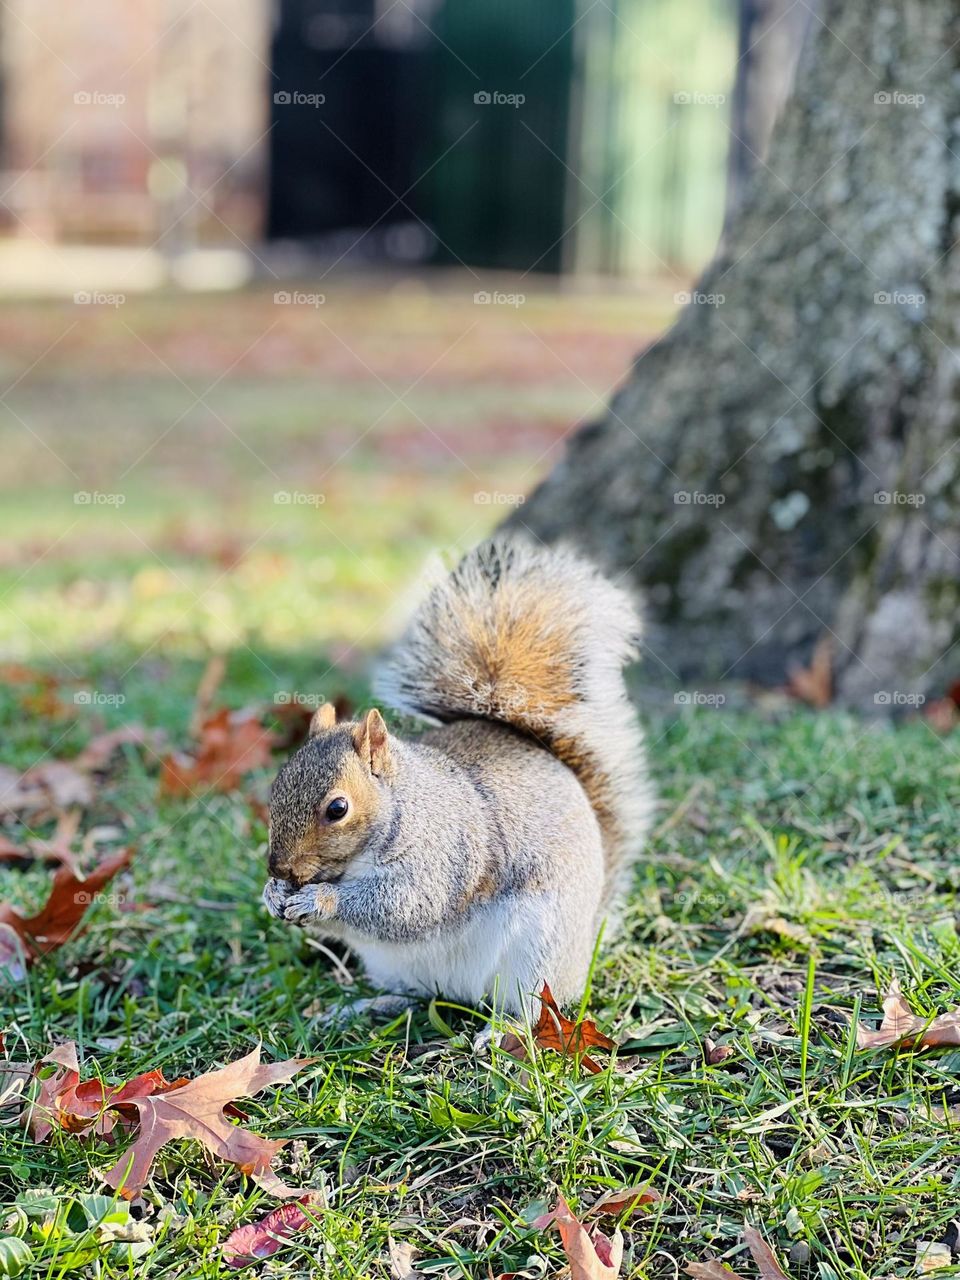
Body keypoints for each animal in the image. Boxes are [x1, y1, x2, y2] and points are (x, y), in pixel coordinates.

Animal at [262, 536, 653, 1015]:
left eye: (338, 809)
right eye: (275, 787)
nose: (278, 867)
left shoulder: (444, 855)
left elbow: (405, 906)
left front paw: (318, 899)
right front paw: (273, 895)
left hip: (540, 951)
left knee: (534, 1006)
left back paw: (502, 1028)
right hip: (396, 966)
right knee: (413, 994)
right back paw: (366, 1006)